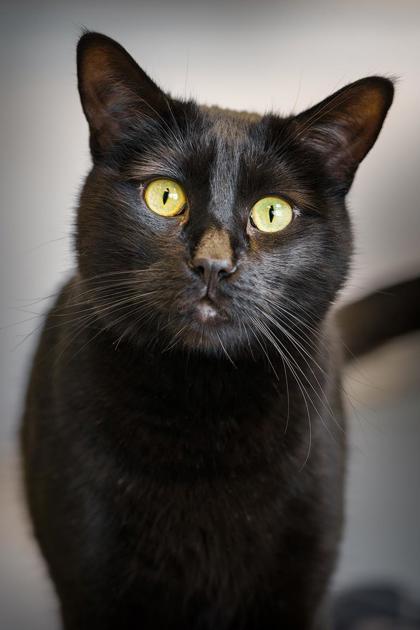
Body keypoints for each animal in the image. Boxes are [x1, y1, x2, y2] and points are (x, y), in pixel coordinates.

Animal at [21, 32, 396, 628]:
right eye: (164, 196)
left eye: (272, 213)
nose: (213, 264)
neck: (202, 408)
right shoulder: (88, 577)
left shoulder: (302, 571)